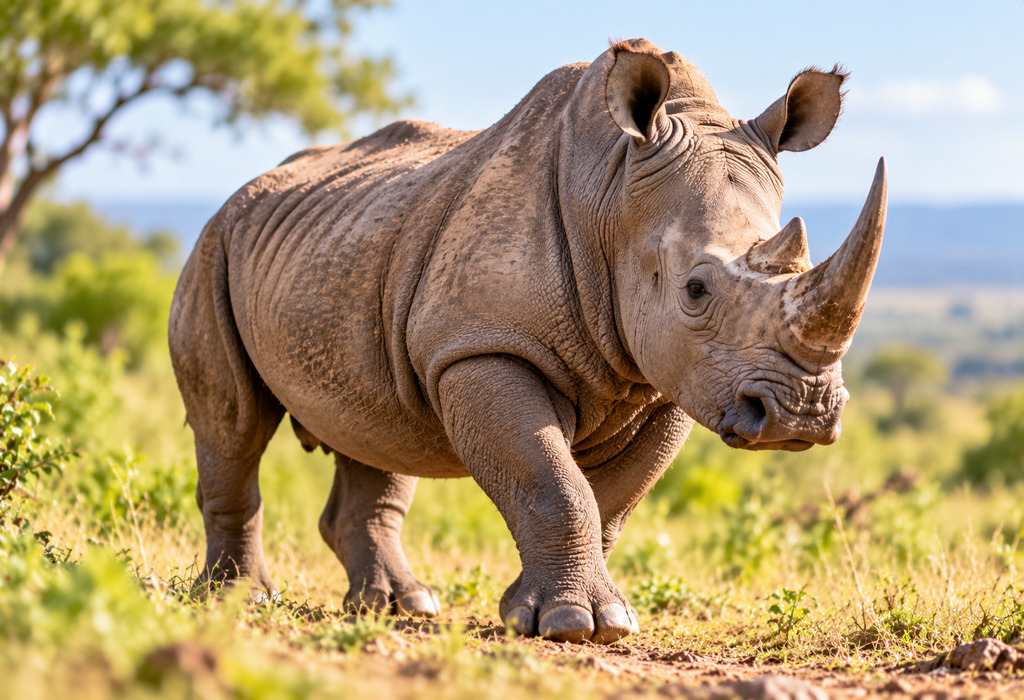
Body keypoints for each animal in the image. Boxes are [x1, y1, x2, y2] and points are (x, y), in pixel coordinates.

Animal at [169, 38, 886, 644]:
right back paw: (238, 601)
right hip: (214, 248)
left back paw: (400, 607)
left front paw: (567, 615)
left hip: (343, 247)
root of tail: (243, 193)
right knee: (234, 423)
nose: (802, 414)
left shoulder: (673, 380)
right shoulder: (482, 345)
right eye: (696, 289)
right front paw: (573, 625)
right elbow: (548, 479)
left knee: (373, 426)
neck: (613, 195)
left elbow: (610, 500)